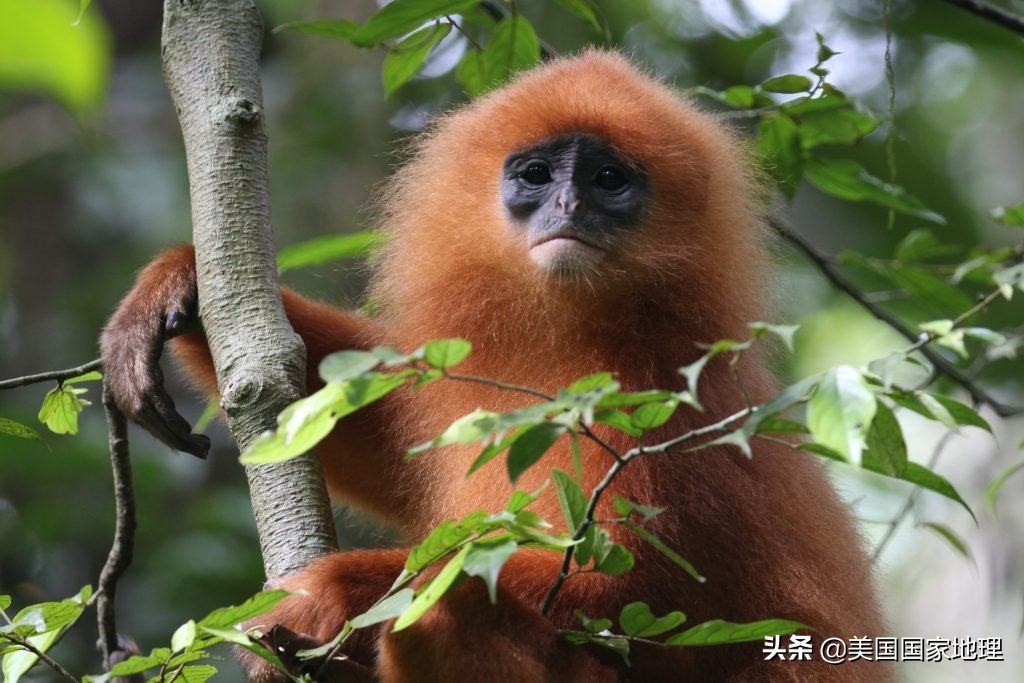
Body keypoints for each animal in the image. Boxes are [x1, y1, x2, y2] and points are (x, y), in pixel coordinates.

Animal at [101, 50, 888, 679]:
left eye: (608, 179)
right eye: (537, 175)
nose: (567, 204)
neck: (571, 337)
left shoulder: (656, 400)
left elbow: (630, 591)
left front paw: (335, 592)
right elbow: (379, 436)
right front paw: (177, 284)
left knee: (444, 609)